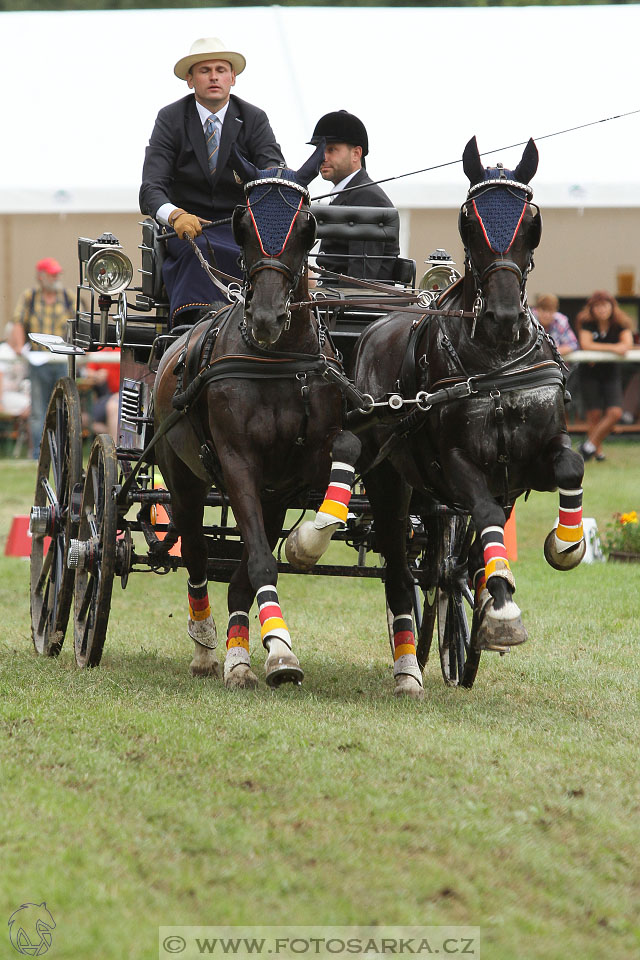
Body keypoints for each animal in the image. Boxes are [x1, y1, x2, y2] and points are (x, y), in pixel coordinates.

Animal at [151, 142, 360, 688]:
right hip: (182, 476)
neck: (275, 360)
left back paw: (237, 653)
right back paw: (206, 646)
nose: (267, 319)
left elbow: (346, 449)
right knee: (196, 554)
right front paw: (279, 651)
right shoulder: (238, 461)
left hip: (272, 494)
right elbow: (259, 563)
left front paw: (308, 543)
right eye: (241, 223)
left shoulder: (294, 472)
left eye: (308, 225)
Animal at [336, 137, 584, 696]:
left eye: (531, 220)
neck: (494, 361)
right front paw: (504, 611)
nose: (504, 316)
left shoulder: (531, 460)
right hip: (389, 477)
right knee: (401, 560)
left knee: (444, 555)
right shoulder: (457, 463)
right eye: (469, 220)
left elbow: (570, 467)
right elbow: (487, 516)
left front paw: (566, 545)